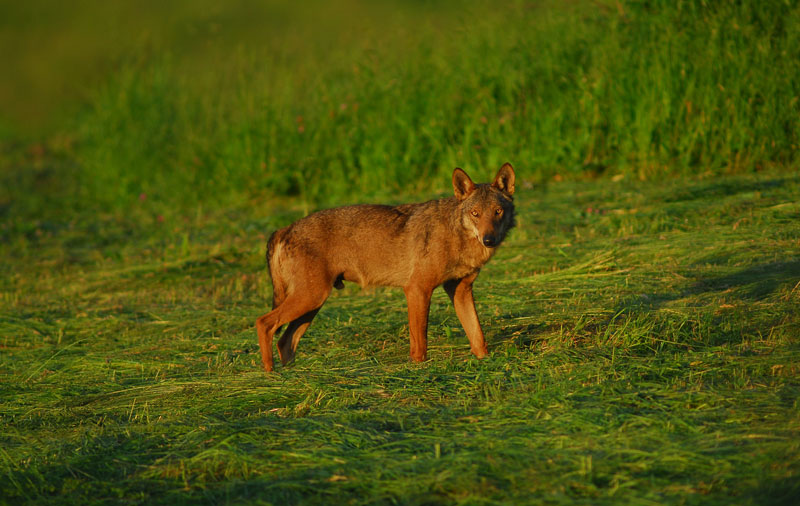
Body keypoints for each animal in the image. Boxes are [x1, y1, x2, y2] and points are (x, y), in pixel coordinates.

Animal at [258, 163, 520, 372]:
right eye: (475, 214)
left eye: (497, 212)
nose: (489, 240)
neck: (456, 235)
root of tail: (285, 228)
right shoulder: (417, 289)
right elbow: (419, 342)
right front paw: (418, 369)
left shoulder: (461, 290)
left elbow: (477, 335)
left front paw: (487, 362)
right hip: (311, 298)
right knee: (264, 323)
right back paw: (270, 374)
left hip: (312, 305)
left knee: (284, 341)